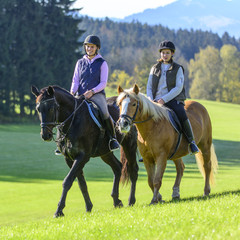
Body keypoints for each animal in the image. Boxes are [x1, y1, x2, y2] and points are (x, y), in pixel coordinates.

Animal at [31, 85, 139, 217]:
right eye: (38, 109)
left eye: (51, 108)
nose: (45, 135)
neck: (73, 120)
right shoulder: (69, 158)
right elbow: (81, 183)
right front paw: (88, 207)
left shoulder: (82, 157)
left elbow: (67, 181)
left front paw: (59, 210)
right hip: (105, 153)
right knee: (117, 167)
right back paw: (116, 201)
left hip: (130, 145)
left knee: (133, 170)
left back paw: (131, 201)